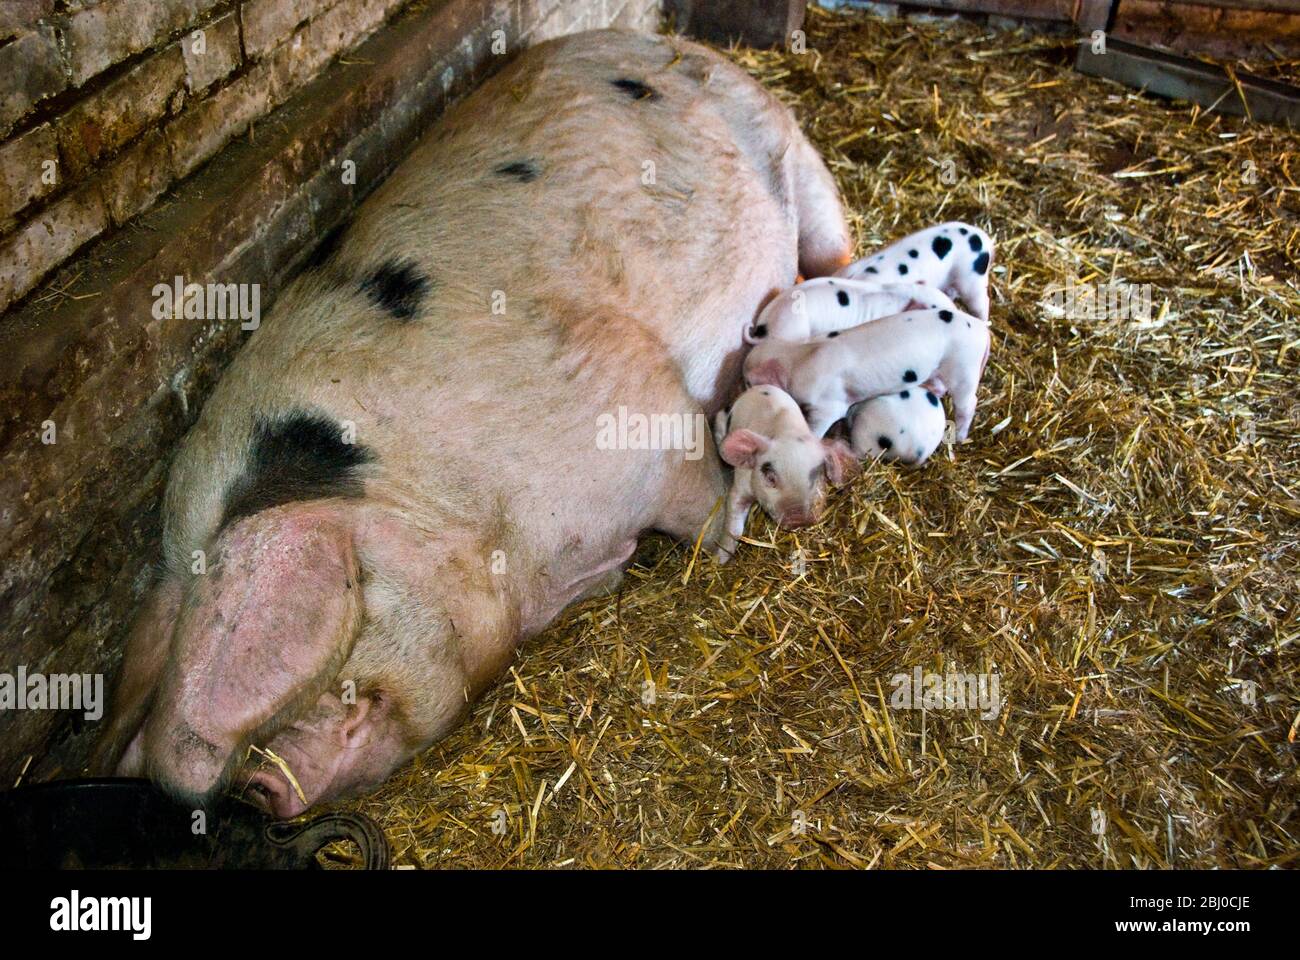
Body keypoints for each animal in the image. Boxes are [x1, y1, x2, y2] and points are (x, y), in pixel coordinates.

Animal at [96, 27, 857, 816]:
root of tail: (664, 40)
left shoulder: (639, 403)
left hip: (797, 163)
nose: (256, 787)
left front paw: (734, 543)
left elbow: (703, 514)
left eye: (345, 642)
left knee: (830, 248)